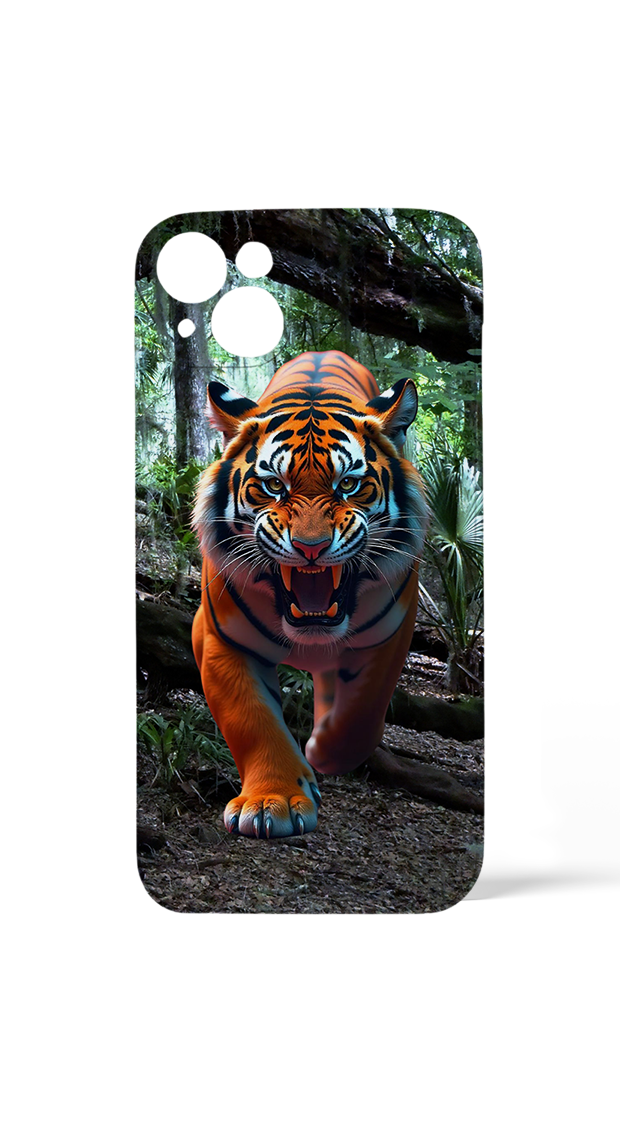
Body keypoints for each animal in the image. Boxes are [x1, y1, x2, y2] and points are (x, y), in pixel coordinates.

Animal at [191, 350, 428, 839]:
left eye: (349, 485)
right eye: (274, 486)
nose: (311, 547)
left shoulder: (391, 634)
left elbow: (362, 712)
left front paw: (322, 753)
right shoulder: (219, 638)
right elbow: (251, 719)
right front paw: (272, 801)